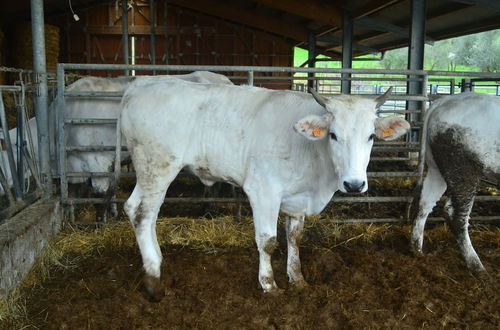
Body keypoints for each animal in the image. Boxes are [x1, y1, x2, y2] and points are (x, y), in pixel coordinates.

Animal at [118, 79, 410, 300]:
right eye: (333, 135)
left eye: (371, 136)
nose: (354, 184)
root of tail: (141, 84)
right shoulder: (263, 190)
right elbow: (268, 241)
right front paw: (269, 284)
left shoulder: (297, 198)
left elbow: (294, 237)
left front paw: (297, 278)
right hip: (157, 167)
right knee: (143, 212)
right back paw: (153, 279)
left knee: (140, 211)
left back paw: (157, 261)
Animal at [410, 92, 500, 270]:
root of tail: (444, 101)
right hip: (463, 168)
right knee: (458, 215)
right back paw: (475, 264)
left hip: (436, 168)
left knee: (425, 203)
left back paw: (416, 249)